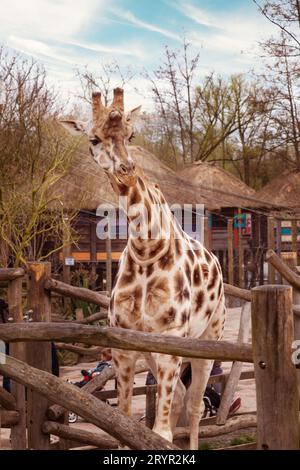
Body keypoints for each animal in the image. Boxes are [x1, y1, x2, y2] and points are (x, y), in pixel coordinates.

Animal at [61, 88, 225, 448]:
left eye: (131, 134)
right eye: (93, 138)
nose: (126, 169)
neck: (146, 249)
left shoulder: (172, 342)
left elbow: (160, 431)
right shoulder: (126, 347)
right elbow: (124, 426)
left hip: (208, 340)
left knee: (194, 406)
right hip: (155, 353)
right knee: (179, 400)